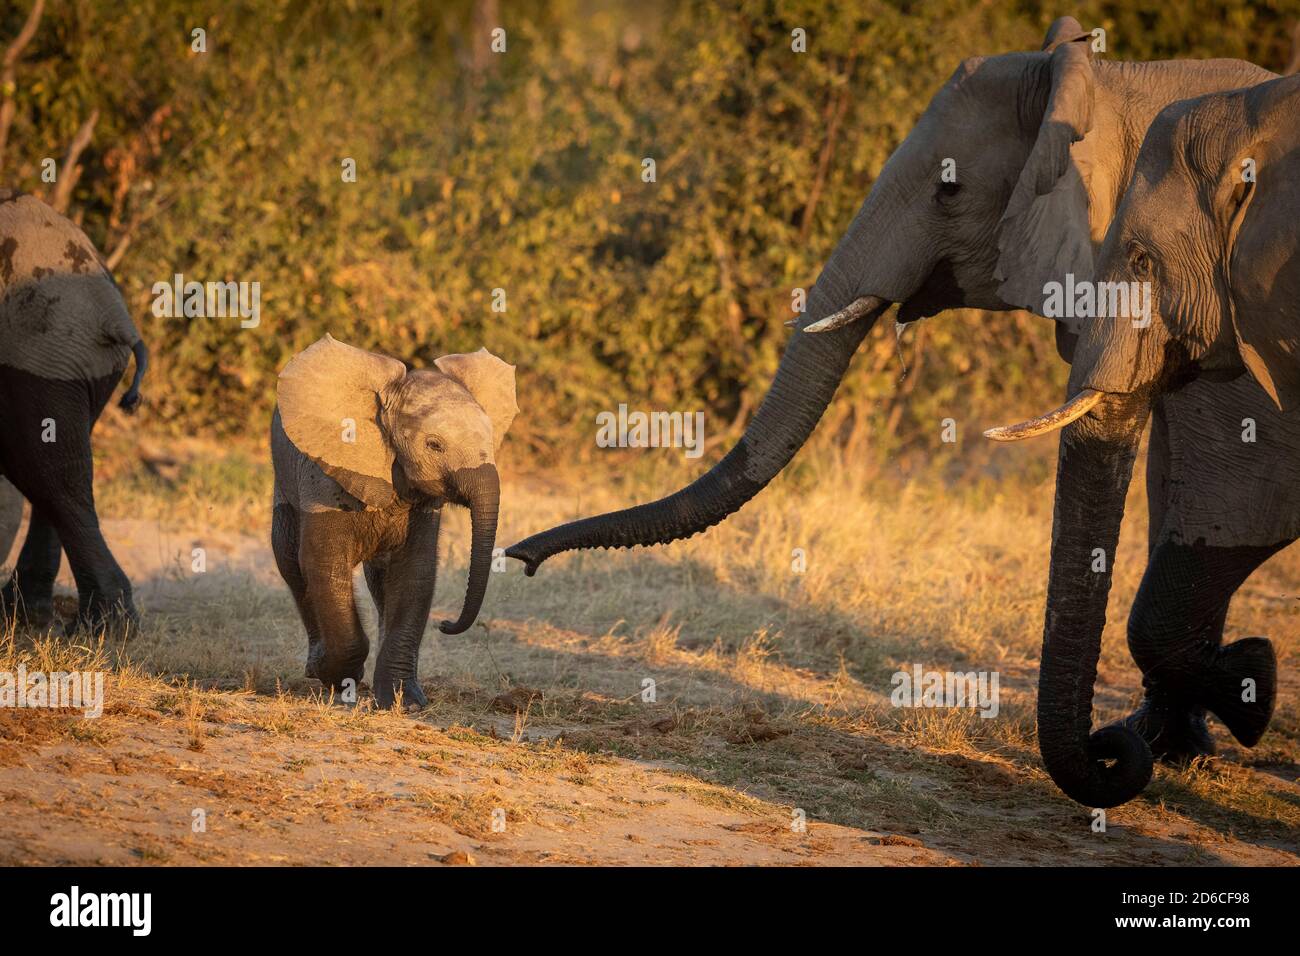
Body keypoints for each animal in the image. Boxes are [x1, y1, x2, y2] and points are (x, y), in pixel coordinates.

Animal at [0, 191, 148, 632]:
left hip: (42, 348)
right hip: (73, 358)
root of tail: (113, 313)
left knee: (50, 473)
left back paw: (102, 629)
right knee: (51, 468)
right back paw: (28, 614)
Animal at [270, 335, 517, 712]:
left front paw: (406, 703)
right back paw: (316, 668)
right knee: (290, 563)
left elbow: (414, 573)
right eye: (434, 445)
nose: (446, 624)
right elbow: (324, 565)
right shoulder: (323, 478)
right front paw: (339, 678)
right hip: (285, 482)